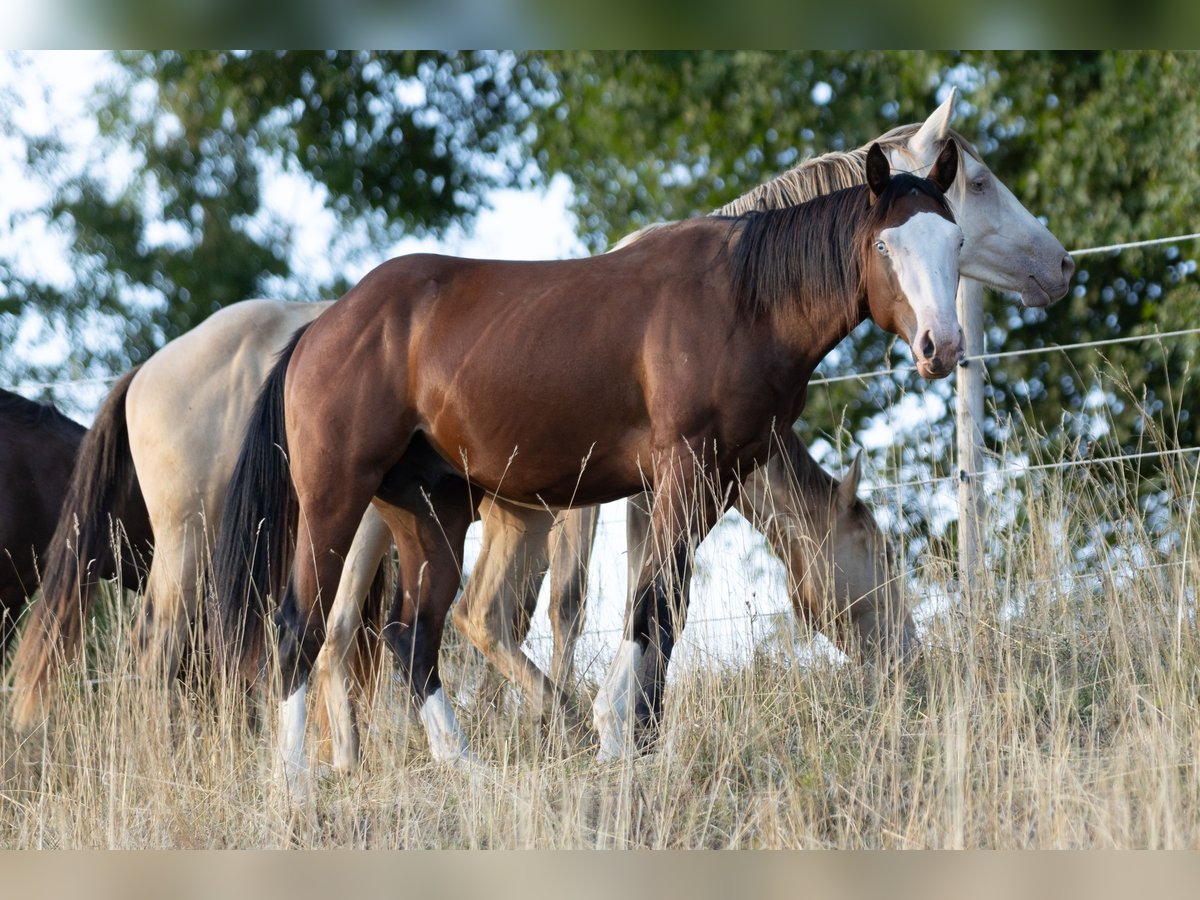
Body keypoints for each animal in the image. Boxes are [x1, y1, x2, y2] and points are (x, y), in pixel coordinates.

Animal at [211, 141, 964, 784]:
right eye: (885, 243)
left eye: (955, 241)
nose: (943, 346)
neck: (742, 301)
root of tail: (325, 325)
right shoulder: (681, 473)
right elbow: (652, 604)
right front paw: (615, 734)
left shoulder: (713, 483)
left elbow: (664, 604)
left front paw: (631, 734)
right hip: (335, 501)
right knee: (299, 628)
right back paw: (295, 781)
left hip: (429, 513)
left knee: (411, 635)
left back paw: (465, 767)